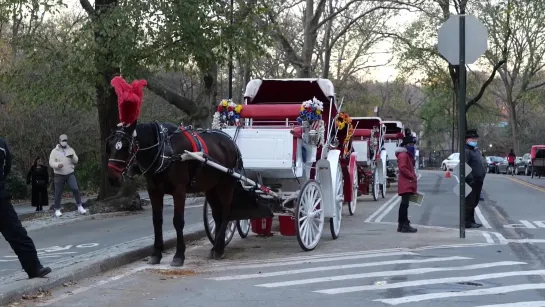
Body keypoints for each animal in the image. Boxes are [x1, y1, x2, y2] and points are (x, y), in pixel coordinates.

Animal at [106, 121, 242, 268]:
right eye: (109, 146)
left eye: (125, 147)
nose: (112, 178)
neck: (164, 151)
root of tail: (230, 141)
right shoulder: (154, 191)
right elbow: (157, 221)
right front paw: (156, 253)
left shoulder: (179, 191)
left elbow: (178, 221)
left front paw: (179, 255)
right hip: (211, 188)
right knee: (217, 216)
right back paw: (218, 246)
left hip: (226, 184)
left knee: (226, 213)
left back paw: (218, 249)